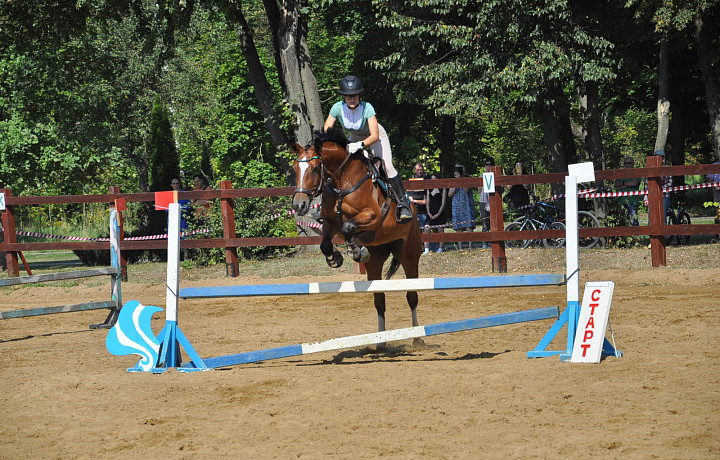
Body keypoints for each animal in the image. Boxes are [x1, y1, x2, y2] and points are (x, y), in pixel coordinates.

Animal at [292, 127, 424, 332]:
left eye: (314, 168)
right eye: (294, 169)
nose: (299, 205)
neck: (342, 182)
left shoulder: (373, 216)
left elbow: (348, 227)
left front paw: (357, 251)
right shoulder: (329, 221)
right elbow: (326, 243)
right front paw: (337, 258)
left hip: (409, 254)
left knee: (412, 296)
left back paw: (417, 336)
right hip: (377, 259)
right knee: (380, 300)